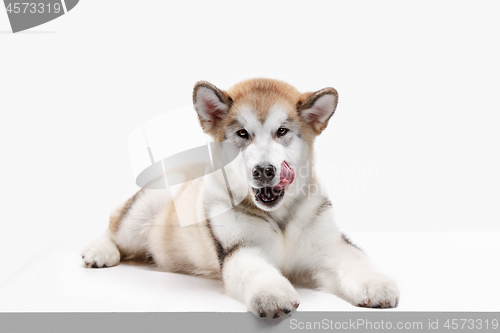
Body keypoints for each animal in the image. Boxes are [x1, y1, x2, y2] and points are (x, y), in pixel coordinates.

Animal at [82, 78, 398, 316]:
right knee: (114, 225)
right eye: (243, 134)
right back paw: (99, 251)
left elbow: (355, 261)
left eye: (282, 131)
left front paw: (376, 285)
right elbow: (255, 271)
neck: (279, 219)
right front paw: (273, 295)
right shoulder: (240, 249)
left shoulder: (331, 247)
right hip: (143, 210)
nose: (264, 171)